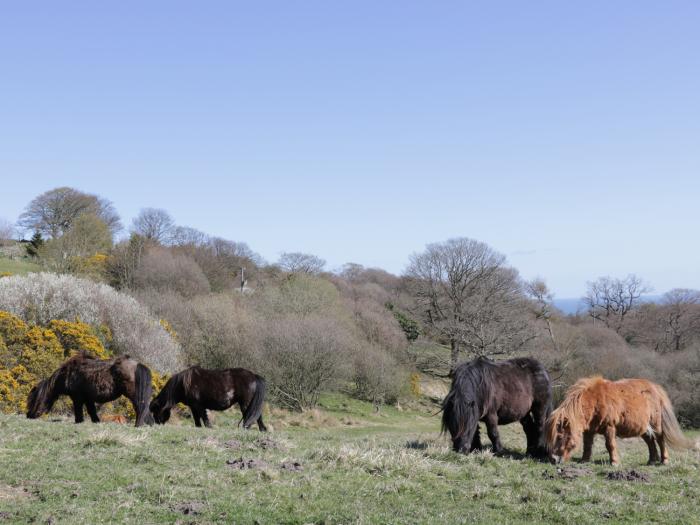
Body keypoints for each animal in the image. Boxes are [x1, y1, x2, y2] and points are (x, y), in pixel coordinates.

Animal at [544, 374, 692, 464]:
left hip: (655, 425)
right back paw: (651, 461)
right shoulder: (589, 431)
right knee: (650, 442)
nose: (553, 459)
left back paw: (664, 460)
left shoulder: (609, 427)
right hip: (644, 429)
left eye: (559, 436)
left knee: (660, 440)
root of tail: (655, 388)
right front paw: (584, 460)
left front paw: (614, 462)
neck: (595, 400)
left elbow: (610, 445)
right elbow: (587, 446)